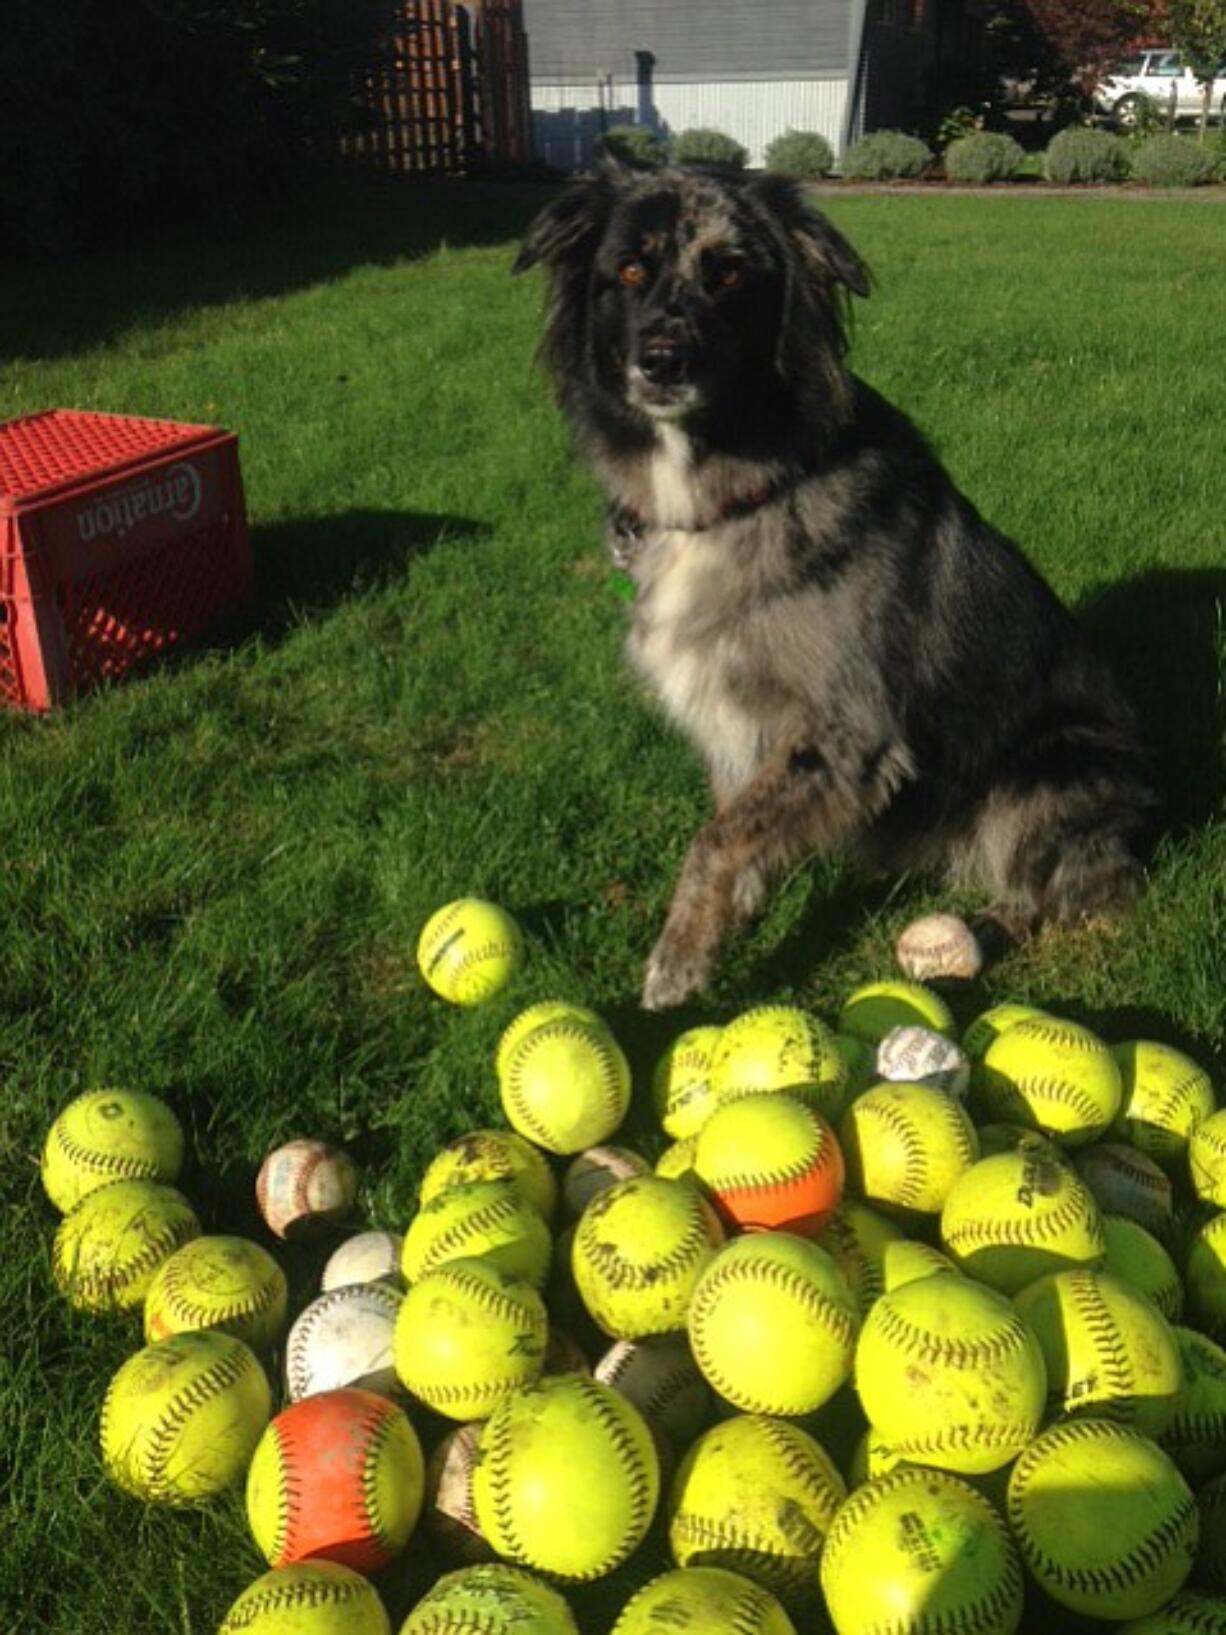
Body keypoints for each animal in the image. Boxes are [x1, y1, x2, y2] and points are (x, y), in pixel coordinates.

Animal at [513, 165, 1163, 1007]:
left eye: (730, 275)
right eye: (628, 270)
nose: (663, 359)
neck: (734, 487)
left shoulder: (849, 730)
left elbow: (716, 836)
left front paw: (676, 966)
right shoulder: (740, 724)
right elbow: (740, 823)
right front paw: (730, 924)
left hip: (1050, 773)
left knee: (1085, 896)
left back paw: (980, 932)